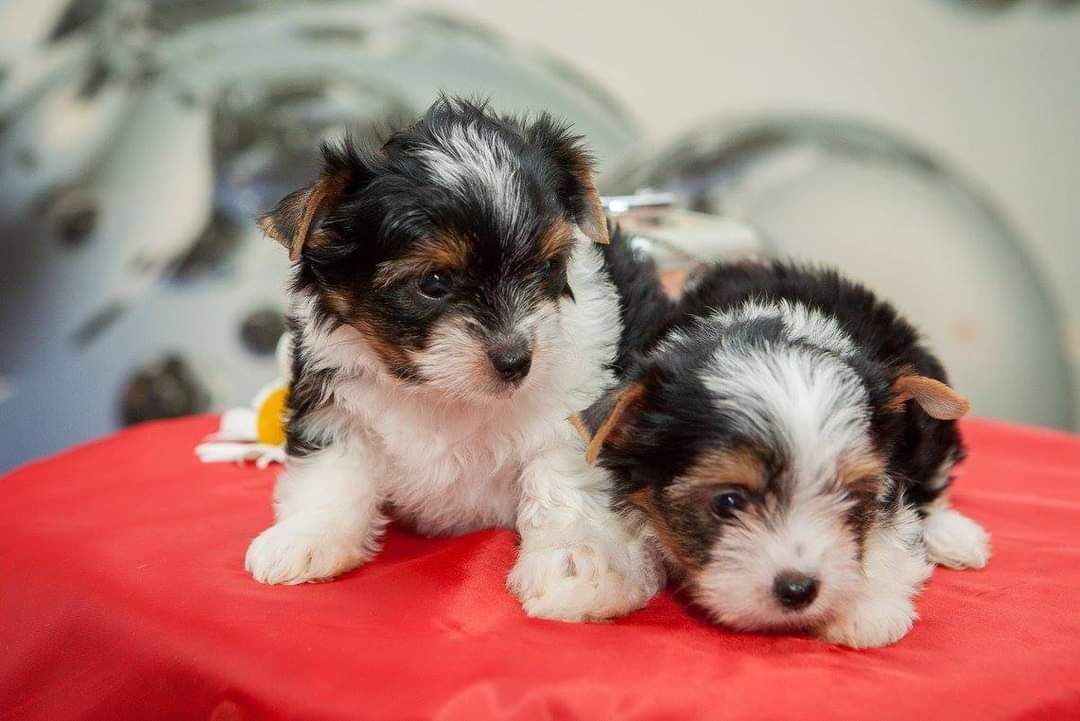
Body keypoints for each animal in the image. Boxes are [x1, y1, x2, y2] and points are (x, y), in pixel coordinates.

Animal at [245, 98, 660, 621]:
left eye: (548, 267)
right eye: (434, 282)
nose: (516, 360)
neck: (440, 390)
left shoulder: (580, 398)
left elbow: (564, 476)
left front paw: (578, 564)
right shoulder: (334, 392)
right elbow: (333, 466)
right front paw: (305, 537)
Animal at [578, 260, 989, 647]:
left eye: (852, 498)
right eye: (727, 503)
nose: (799, 589)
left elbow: (891, 527)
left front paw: (864, 607)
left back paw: (954, 536)